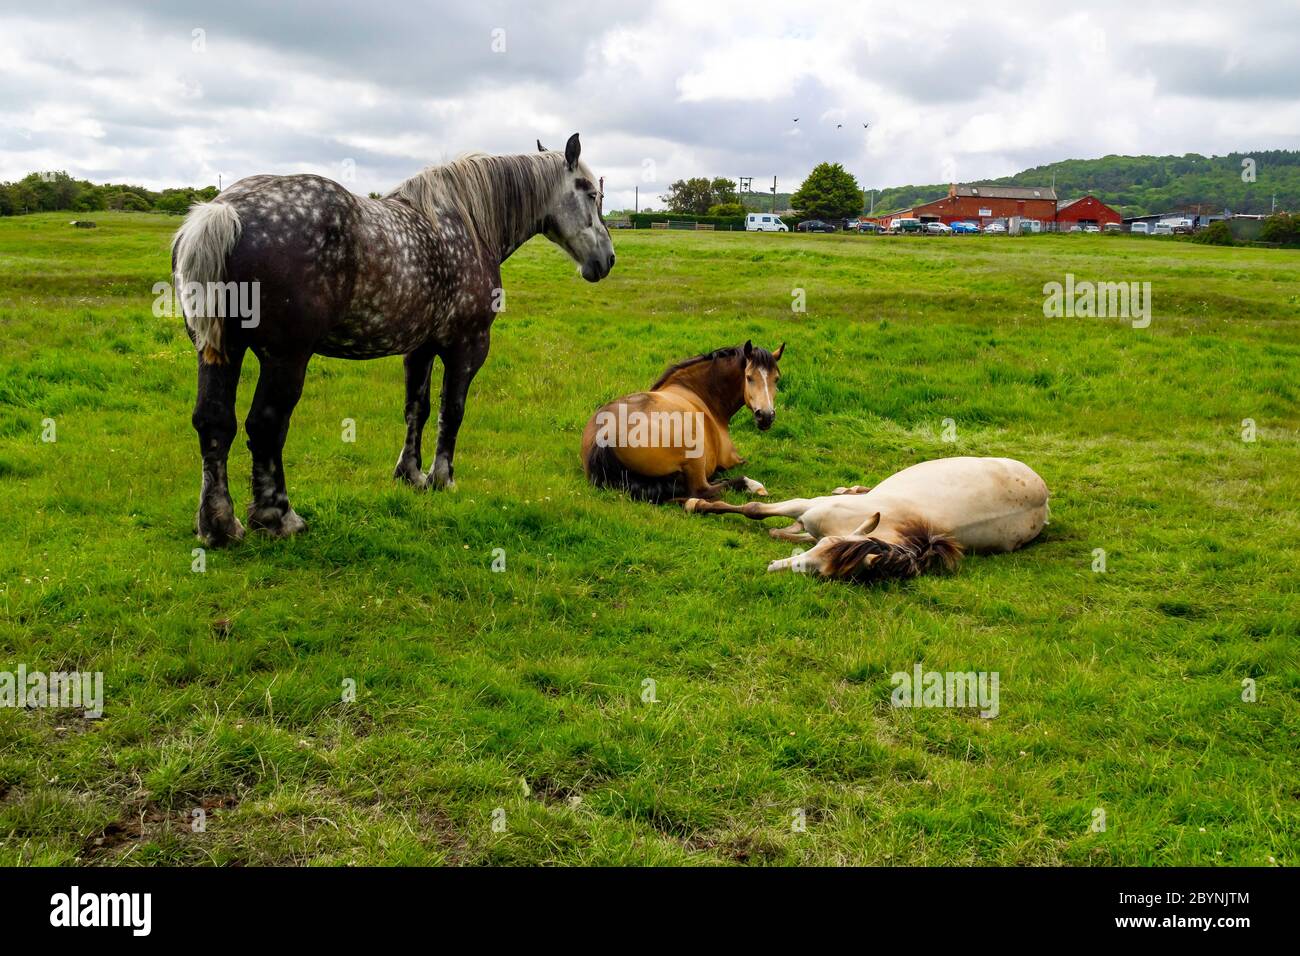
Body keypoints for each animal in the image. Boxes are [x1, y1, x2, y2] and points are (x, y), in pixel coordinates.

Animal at [172, 133, 615, 546]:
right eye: (591, 193)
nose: (607, 260)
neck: (468, 225)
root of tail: (225, 210)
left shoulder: (420, 348)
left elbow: (416, 409)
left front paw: (410, 475)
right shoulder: (468, 346)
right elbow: (451, 411)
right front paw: (442, 478)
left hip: (219, 352)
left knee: (214, 422)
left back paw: (219, 526)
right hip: (285, 359)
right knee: (265, 426)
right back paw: (279, 518)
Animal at [581, 341, 785, 503]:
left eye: (776, 379)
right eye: (749, 377)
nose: (766, 416)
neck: (697, 391)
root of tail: (605, 435)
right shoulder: (733, 459)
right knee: (701, 490)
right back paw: (750, 485)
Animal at [684, 456, 1048, 581]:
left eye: (827, 572)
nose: (776, 567)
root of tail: (1044, 498)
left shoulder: (811, 518)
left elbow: (771, 524)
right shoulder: (808, 505)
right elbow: (755, 510)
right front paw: (694, 503)